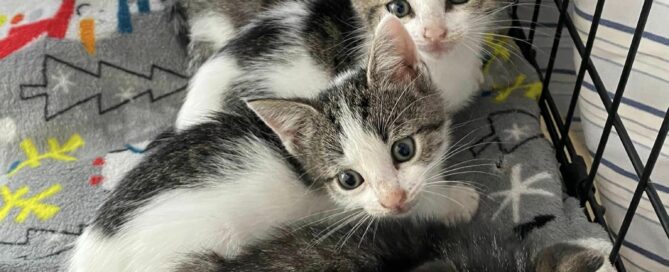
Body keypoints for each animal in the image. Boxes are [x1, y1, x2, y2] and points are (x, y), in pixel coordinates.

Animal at [68, 16, 478, 272]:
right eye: (349, 180)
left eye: (403, 150)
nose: (393, 198)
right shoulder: (347, 219)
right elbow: (410, 211)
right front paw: (455, 200)